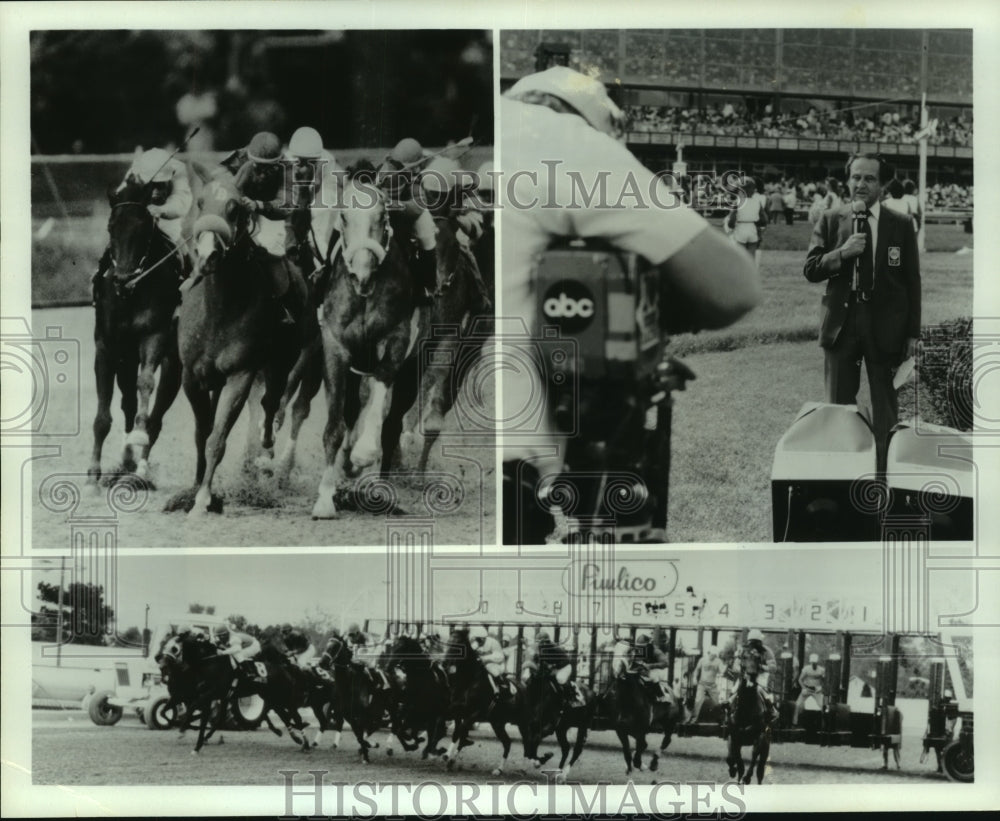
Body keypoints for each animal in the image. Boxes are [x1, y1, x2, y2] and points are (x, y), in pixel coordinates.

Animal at [89, 176, 183, 484]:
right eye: (111, 226)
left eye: (143, 226)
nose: (122, 278)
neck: (130, 294)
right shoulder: (106, 347)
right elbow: (103, 416)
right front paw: (93, 474)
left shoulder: (154, 336)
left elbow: (146, 383)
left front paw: (139, 438)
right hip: (125, 359)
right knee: (128, 402)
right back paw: (127, 460)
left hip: (174, 363)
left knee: (158, 411)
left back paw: (139, 467)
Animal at [170, 176, 308, 516]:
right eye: (201, 203)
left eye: (234, 208)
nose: (208, 256)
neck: (219, 308)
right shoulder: (191, 377)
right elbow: (202, 434)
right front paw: (195, 488)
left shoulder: (240, 375)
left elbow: (217, 438)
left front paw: (203, 499)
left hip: (281, 362)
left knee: (271, 402)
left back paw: (266, 443)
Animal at [312, 175, 430, 516]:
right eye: (343, 217)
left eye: (383, 217)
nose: (362, 274)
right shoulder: (335, 346)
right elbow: (336, 425)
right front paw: (325, 498)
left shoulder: (396, 341)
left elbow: (380, 393)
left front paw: (363, 454)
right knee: (352, 409)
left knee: (391, 425)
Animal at [442, 632, 528, 772]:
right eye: (449, 642)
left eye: (458, 645)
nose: (444, 663)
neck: (470, 681)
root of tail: (524, 687)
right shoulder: (458, 711)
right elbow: (458, 730)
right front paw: (451, 758)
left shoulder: (475, 713)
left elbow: (461, 729)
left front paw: (448, 755)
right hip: (498, 723)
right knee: (507, 742)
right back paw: (499, 769)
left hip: (523, 723)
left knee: (528, 741)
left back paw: (528, 765)